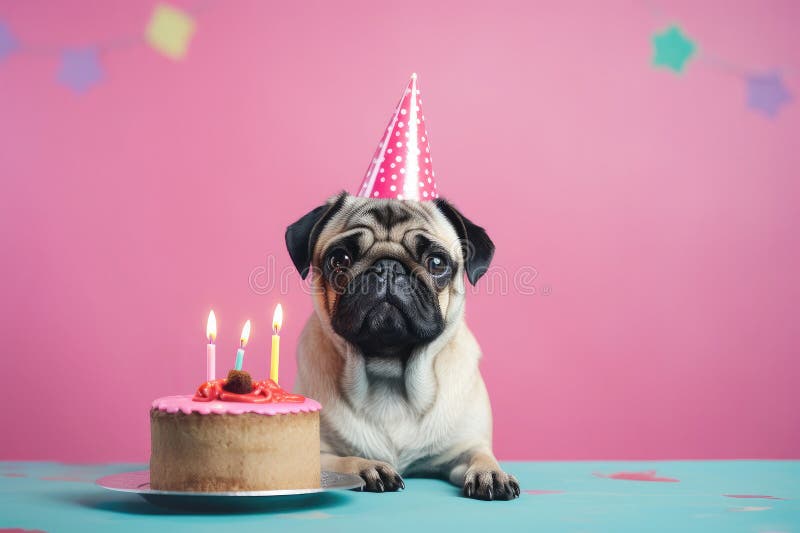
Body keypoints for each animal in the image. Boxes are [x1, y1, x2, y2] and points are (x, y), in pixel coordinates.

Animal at [284, 191, 520, 498]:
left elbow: (481, 455)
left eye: (436, 263)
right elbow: (342, 459)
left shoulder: (466, 446)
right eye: (340, 258)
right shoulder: (318, 454)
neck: (390, 373)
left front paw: (490, 473)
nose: (387, 266)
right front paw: (369, 466)